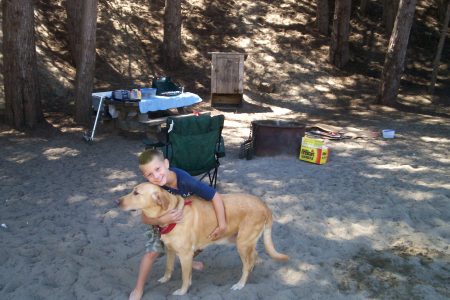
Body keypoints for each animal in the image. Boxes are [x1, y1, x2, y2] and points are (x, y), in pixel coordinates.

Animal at [118, 183, 288, 296]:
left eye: (136, 193)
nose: (116, 201)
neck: (171, 214)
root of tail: (264, 205)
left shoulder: (185, 255)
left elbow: (184, 276)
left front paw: (182, 291)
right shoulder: (170, 250)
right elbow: (169, 267)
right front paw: (166, 279)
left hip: (242, 243)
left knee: (246, 265)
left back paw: (240, 284)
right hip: (243, 242)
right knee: (253, 257)